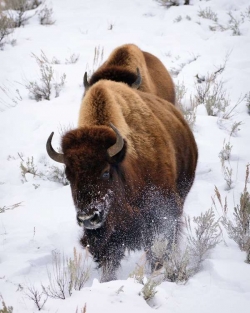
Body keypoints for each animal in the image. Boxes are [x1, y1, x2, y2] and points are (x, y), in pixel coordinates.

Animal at [45, 79, 197, 282]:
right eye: (69, 176)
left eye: (105, 172)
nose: (88, 218)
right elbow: (109, 260)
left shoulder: (162, 214)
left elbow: (158, 248)